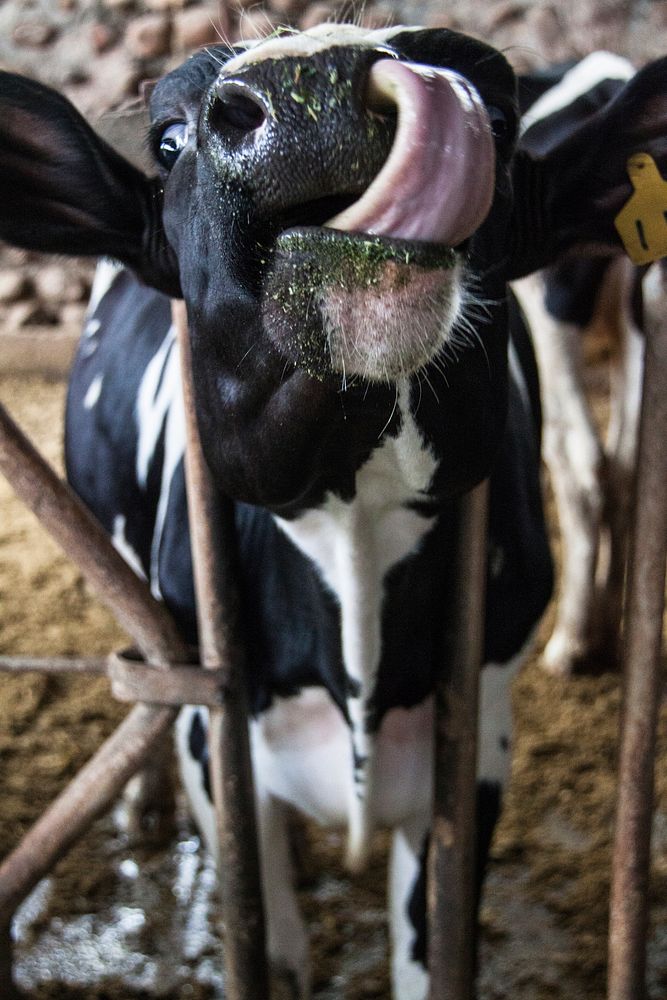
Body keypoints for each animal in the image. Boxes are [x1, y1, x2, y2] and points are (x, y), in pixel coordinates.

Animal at [0, 23, 664, 1000]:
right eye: (170, 138)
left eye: (499, 114)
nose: (313, 93)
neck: (354, 529)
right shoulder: (218, 742)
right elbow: (270, 945)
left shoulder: (476, 738)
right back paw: (145, 806)